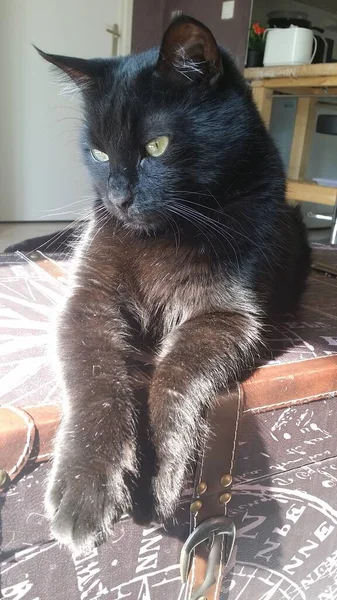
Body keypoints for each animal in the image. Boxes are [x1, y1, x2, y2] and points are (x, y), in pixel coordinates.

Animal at [34, 15, 310, 556]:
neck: (166, 235)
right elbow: (95, 380)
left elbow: (177, 375)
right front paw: (84, 489)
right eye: (98, 152)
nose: (119, 198)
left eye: (156, 147)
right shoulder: (88, 299)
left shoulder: (228, 316)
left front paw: (159, 475)